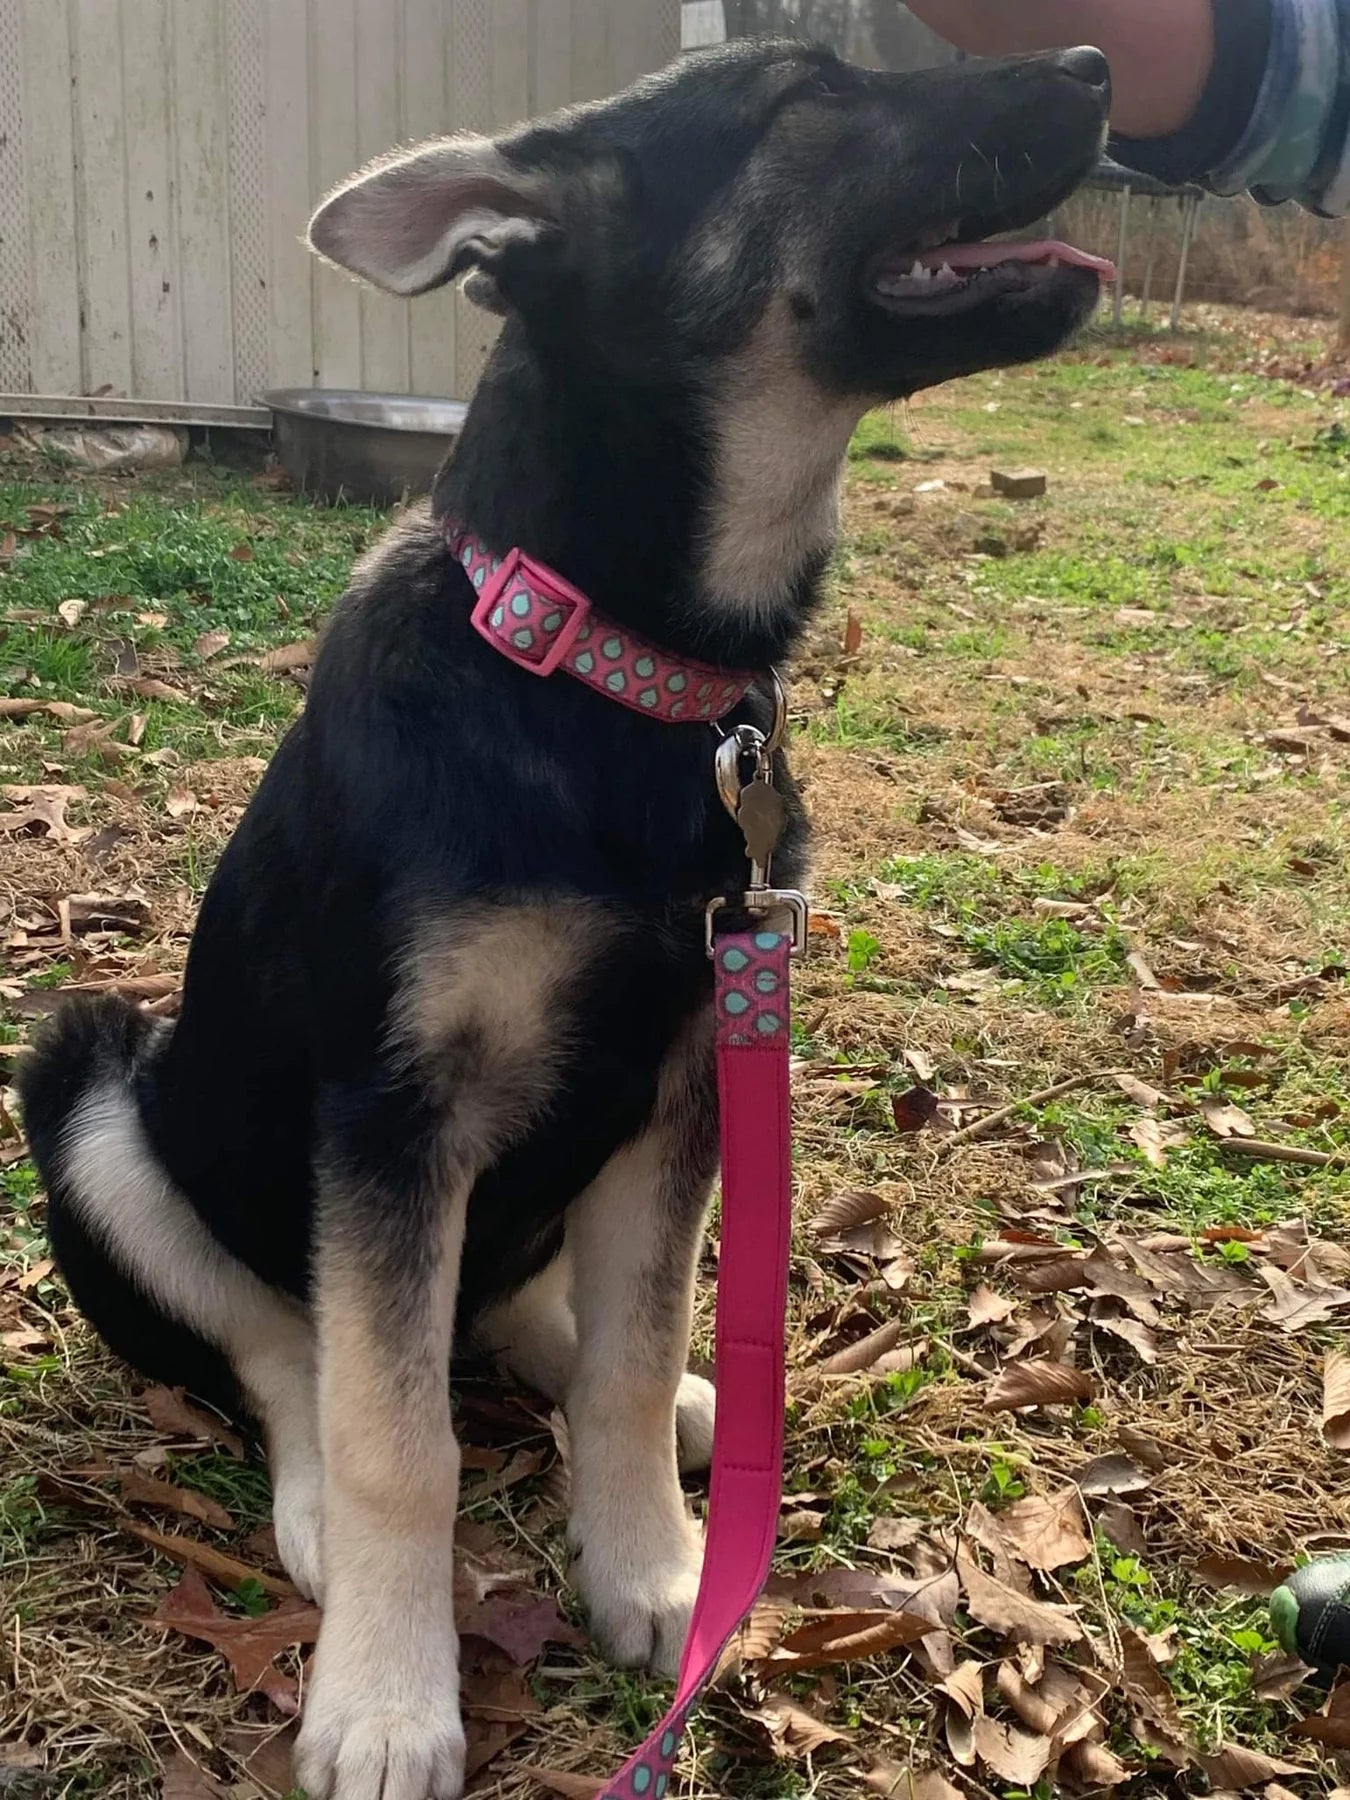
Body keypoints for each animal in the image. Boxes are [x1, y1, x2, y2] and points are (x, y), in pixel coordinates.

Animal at [21, 38, 1116, 1800]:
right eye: (806, 92)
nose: (1091, 66)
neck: (613, 679)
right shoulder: (391, 1114)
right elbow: (398, 1440)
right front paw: (388, 1701)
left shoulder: (685, 1076)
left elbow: (626, 1348)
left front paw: (661, 1568)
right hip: (98, 1096)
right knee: (282, 1344)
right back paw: (316, 1502)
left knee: (548, 1319)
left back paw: (675, 1403)